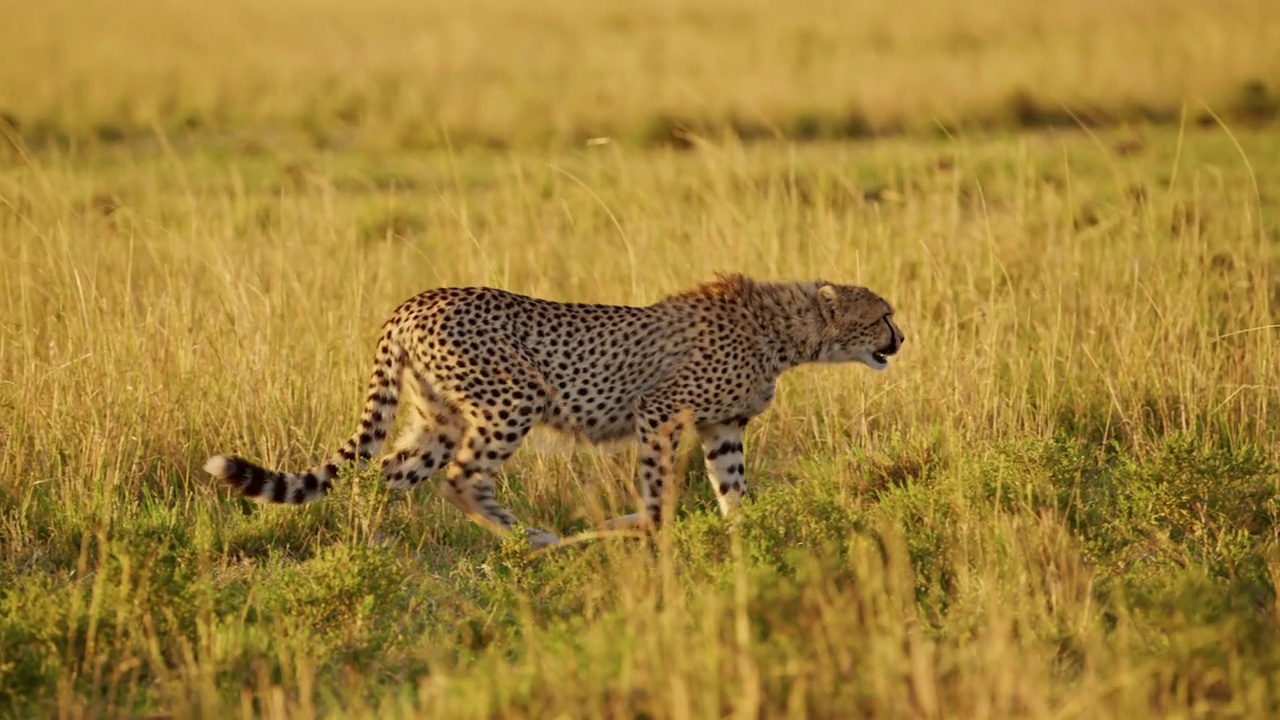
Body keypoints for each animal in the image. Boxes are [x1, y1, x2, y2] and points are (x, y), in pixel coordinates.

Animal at [202, 271, 901, 545]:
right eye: (882, 315)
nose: (901, 340)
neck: (784, 331)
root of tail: (415, 301)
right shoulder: (660, 410)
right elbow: (657, 492)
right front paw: (638, 529)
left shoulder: (722, 427)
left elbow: (735, 493)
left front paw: (746, 537)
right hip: (514, 397)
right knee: (461, 478)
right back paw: (530, 539)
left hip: (438, 418)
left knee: (386, 475)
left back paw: (370, 548)